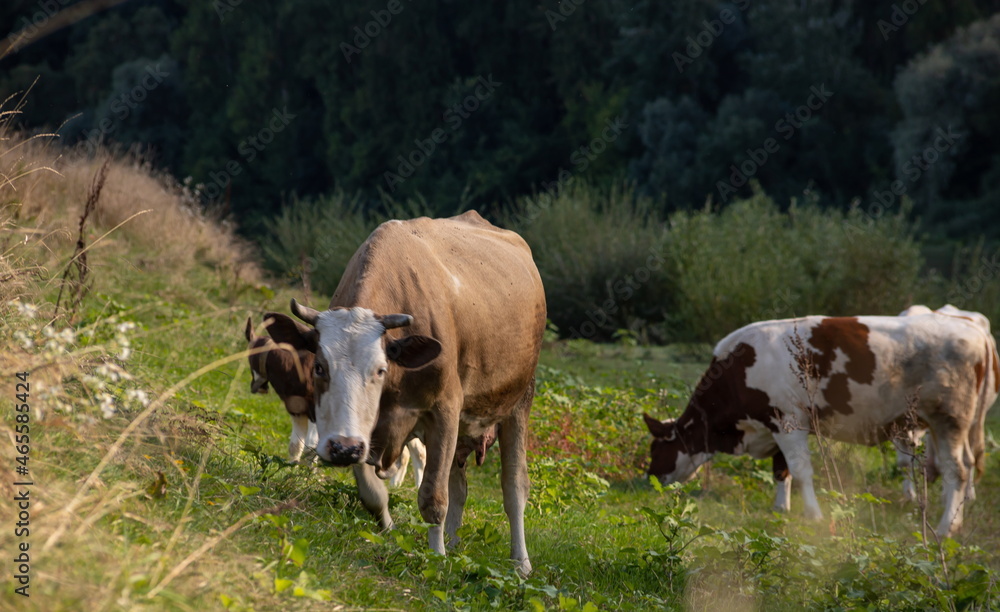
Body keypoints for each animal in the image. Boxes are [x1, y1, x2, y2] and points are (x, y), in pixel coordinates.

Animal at [266, 212, 544, 572]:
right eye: (318, 367)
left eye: (380, 370)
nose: (342, 448)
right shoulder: (364, 431)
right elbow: (372, 492)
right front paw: (389, 528)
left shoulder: (445, 410)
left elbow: (433, 496)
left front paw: (436, 559)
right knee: (460, 485)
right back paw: (455, 545)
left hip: (519, 400)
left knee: (514, 486)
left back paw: (520, 563)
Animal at [644, 316, 996, 536]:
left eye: (656, 449)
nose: (649, 479)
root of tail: (971, 329)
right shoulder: (778, 425)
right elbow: (781, 470)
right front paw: (780, 508)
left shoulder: (788, 421)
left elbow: (801, 472)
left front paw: (813, 515)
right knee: (964, 466)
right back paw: (956, 517)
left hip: (949, 419)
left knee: (957, 470)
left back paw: (945, 527)